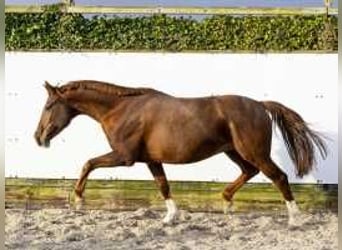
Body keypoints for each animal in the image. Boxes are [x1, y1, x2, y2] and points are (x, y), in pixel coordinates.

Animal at [34, 81, 326, 226]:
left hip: (253, 151)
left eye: (49, 105)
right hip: (234, 152)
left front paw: (78, 199)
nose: (38, 137)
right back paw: (226, 202)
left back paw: (294, 219)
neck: (121, 109)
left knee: (279, 177)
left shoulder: (124, 157)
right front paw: (170, 218)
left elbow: (88, 163)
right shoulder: (151, 160)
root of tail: (259, 105)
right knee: (250, 172)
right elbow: (163, 186)